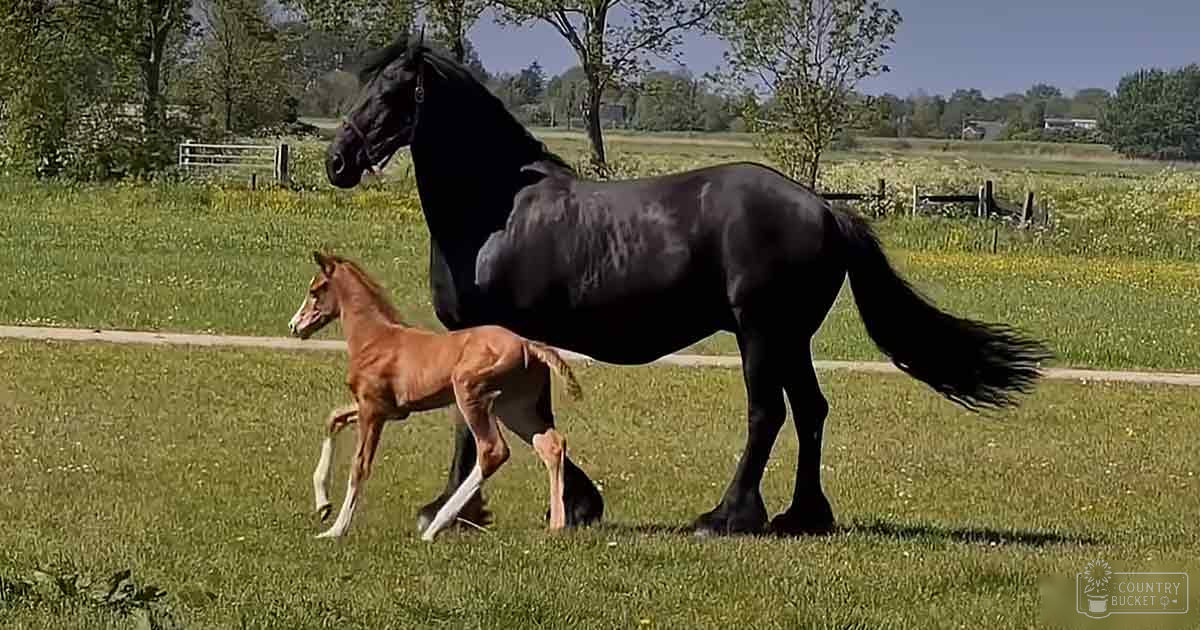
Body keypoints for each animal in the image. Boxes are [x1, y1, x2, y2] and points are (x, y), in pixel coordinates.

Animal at [289, 251, 584, 541]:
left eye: (315, 291)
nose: (294, 326)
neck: (376, 339)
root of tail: (528, 345)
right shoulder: (387, 410)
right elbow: (333, 419)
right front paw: (323, 506)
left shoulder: (373, 410)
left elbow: (359, 465)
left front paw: (335, 529)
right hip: (512, 407)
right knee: (551, 445)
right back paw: (556, 526)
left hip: (470, 394)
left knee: (492, 451)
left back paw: (435, 527)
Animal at [323, 36, 1052, 537]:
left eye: (390, 93)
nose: (337, 161)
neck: (496, 209)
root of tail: (824, 209)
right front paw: (570, 503)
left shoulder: (495, 340)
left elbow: (478, 425)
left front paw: (459, 510)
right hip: (792, 339)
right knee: (811, 412)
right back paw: (801, 516)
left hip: (762, 334)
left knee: (767, 414)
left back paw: (728, 516)